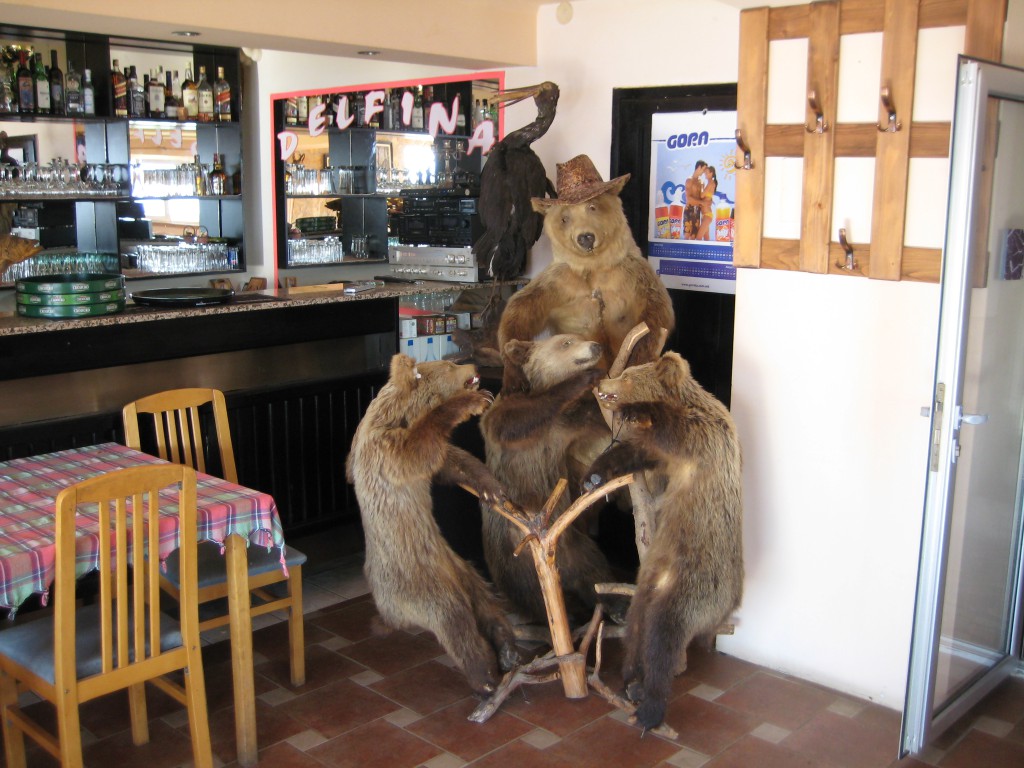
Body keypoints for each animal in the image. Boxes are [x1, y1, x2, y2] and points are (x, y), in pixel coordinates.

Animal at [345, 353, 520, 694]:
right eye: (450, 365)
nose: (475, 369)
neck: (401, 413)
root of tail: (391, 615)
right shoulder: (384, 450)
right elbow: (418, 450)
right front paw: (474, 401)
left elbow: (448, 461)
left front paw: (492, 488)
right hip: (421, 584)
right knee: (456, 623)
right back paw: (485, 677)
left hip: (459, 565)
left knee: (484, 599)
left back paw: (507, 648)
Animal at [478, 333, 616, 625]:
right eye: (565, 343)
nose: (595, 346)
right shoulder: (510, 423)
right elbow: (513, 421)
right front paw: (588, 376)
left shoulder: (571, 425)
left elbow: (600, 425)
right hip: (512, 552)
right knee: (529, 591)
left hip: (576, 544)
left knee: (594, 571)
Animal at [497, 154, 674, 369]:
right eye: (565, 218)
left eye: (593, 206)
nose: (585, 237)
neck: (593, 265)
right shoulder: (559, 282)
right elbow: (521, 307)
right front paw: (513, 351)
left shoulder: (633, 274)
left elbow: (656, 311)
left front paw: (638, 356)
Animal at [582, 351, 743, 729]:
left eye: (627, 376)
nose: (602, 381)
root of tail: (728, 608)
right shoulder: (658, 453)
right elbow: (630, 453)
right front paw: (593, 476)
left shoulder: (703, 440)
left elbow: (674, 430)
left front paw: (636, 410)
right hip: (648, 583)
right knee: (637, 626)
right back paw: (631, 679)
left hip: (695, 584)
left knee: (664, 636)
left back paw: (650, 707)